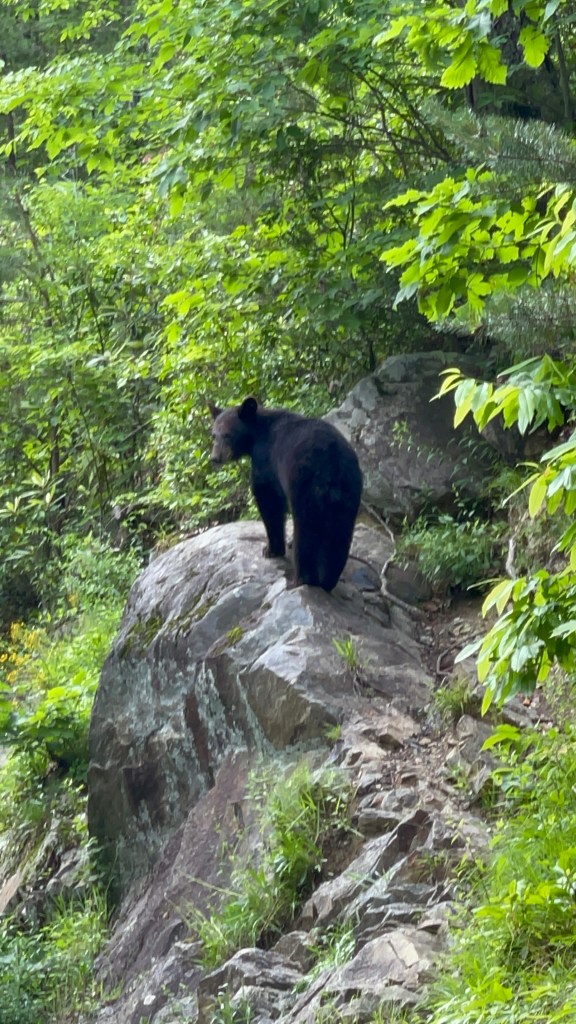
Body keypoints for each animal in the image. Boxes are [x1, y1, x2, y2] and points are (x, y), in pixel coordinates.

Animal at [209, 397, 363, 592]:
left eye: (228, 434)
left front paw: (270, 549)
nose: (215, 458)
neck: (257, 432)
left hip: (305, 486)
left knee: (306, 530)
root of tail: (333, 465)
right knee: (340, 535)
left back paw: (302, 578)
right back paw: (328, 581)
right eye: (214, 434)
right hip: (349, 493)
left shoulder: (266, 459)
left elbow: (268, 499)